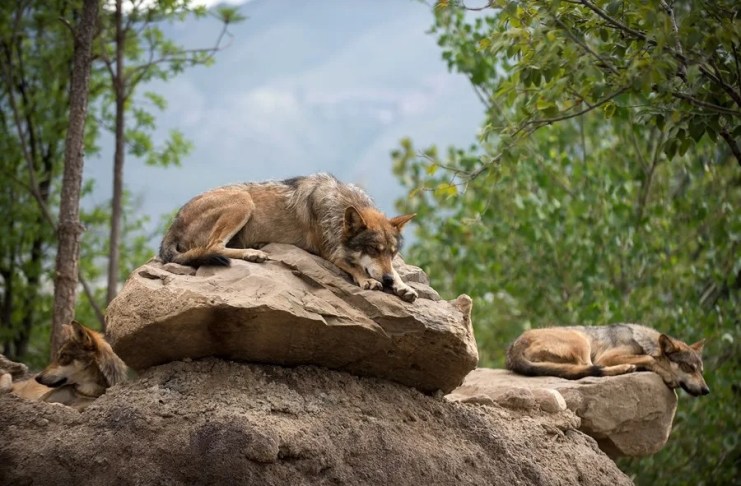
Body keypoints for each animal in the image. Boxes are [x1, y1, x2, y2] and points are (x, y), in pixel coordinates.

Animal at [0, 321, 129, 409]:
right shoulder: (42, 399)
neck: (84, 391)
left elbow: (64, 406)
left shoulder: (83, 406)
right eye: (58, 355)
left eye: (63, 356)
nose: (37, 377)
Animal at [159, 173, 418, 302]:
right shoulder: (329, 251)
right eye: (373, 250)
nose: (386, 281)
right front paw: (368, 281)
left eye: (392, 253)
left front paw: (401, 285)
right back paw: (253, 253)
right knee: (215, 246)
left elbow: (395, 271)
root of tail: (173, 222)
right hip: (243, 201)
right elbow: (354, 266)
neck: (340, 202)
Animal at [506, 323, 709, 396]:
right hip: (581, 341)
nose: (706, 390)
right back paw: (626, 368)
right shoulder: (607, 357)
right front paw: (668, 376)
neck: (643, 341)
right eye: (688, 367)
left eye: (701, 371)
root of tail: (515, 345)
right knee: (591, 369)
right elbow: (648, 358)